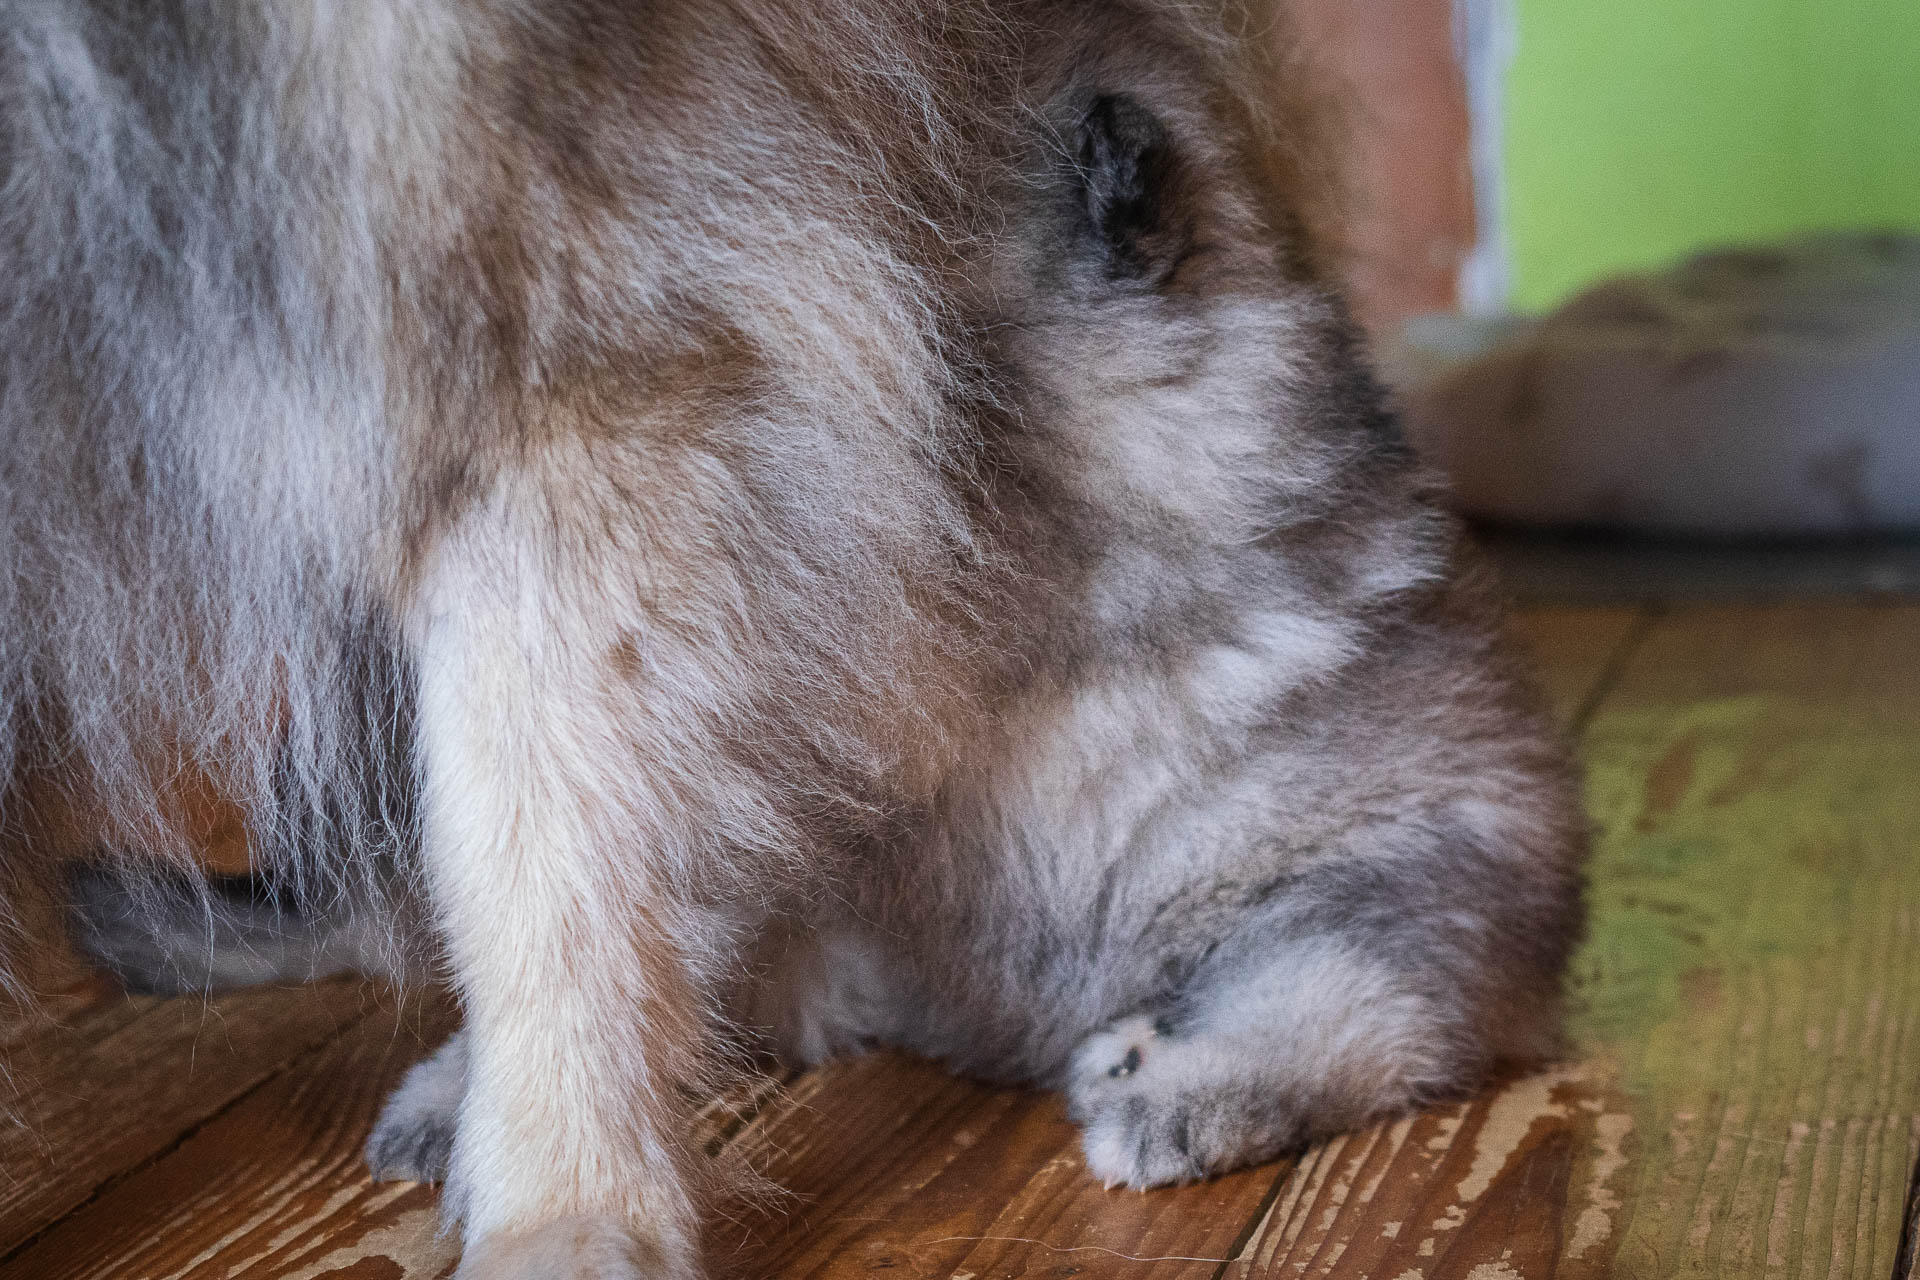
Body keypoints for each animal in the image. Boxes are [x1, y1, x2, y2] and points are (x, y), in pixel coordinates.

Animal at [7, 2, 1582, 1280]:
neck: (1060, 612)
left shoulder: (1439, 869)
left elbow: (1335, 990)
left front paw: (1186, 1087)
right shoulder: (815, 887)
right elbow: (645, 954)